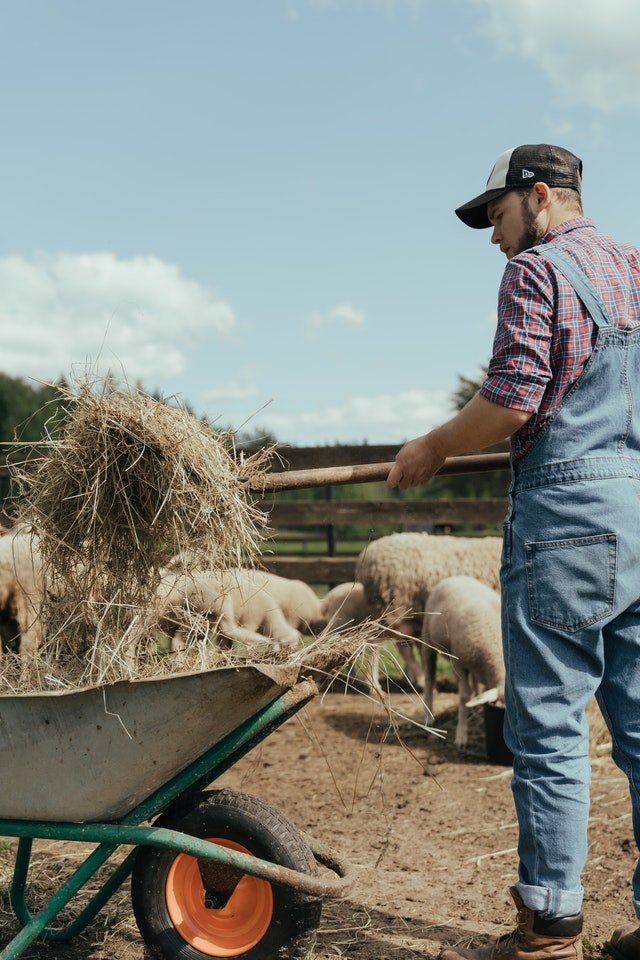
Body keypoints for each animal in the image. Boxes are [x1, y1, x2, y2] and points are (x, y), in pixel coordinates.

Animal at [156, 568, 324, 652]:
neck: (268, 618)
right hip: (218, 605)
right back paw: (260, 640)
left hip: (197, 619)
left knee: (180, 640)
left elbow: (224, 643)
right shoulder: (251, 618)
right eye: (287, 645)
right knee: (229, 628)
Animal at [420, 572, 504, 748]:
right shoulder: (458, 664)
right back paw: (429, 716)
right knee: (429, 678)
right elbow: (464, 696)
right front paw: (461, 735)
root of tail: (456, 577)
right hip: (428, 642)